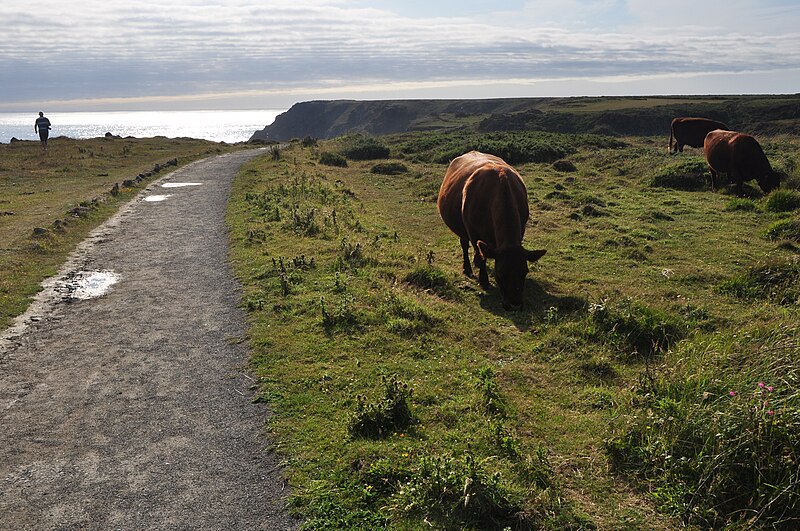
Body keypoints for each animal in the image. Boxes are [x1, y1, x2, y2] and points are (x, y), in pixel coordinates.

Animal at [434, 151, 548, 312]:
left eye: (525, 272)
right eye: (500, 273)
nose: (515, 304)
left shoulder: (522, 229)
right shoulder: (473, 232)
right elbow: (481, 254)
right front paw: (484, 281)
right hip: (463, 230)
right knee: (465, 245)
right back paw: (468, 268)